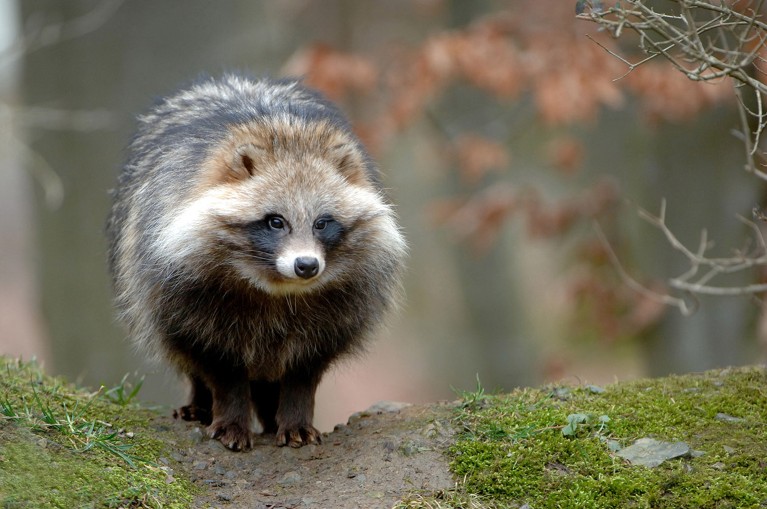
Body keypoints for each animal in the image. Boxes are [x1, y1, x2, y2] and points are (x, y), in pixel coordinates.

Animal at [109, 74, 408, 448]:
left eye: (322, 223)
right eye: (275, 221)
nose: (306, 266)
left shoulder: (340, 310)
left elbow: (304, 370)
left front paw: (295, 416)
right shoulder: (186, 295)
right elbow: (220, 365)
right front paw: (230, 416)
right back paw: (200, 403)